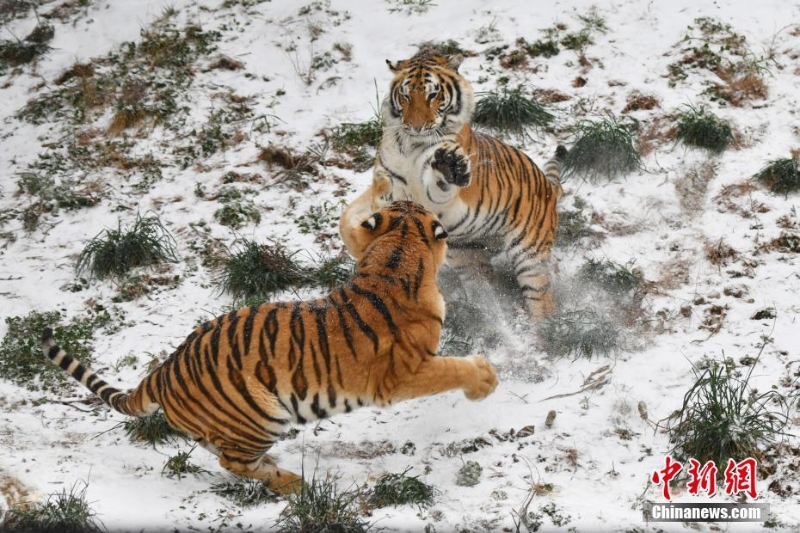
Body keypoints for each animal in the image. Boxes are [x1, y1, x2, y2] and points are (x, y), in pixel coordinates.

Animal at [42, 201, 500, 494]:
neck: (396, 252)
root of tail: (164, 371)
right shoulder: (403, 375)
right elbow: (451, 368)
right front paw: (485, 381)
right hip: (262, 414)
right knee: (231, 462)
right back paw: (292, 483)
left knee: (226, 456)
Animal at [340, 47, 564, 318]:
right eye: (405, 95)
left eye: (433, 94)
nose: (415, 127)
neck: (410, 146)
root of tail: (549, 186)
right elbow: (347, 218)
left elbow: (436, 183)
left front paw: (449, 165)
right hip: (468, 256)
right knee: (484, 290)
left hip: (530, 255)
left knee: (542, 301)